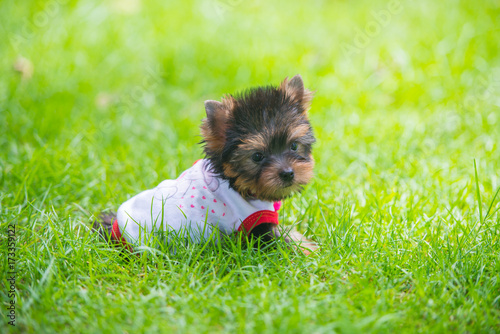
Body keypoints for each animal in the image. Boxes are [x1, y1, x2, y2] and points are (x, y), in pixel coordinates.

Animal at [94, 74, 316, 253]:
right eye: (257, 156)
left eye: (294, 146)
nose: (287, 173)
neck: (237, 184)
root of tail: (114, 228)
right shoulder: (254, 225)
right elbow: (280, 239)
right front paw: (307, 249)